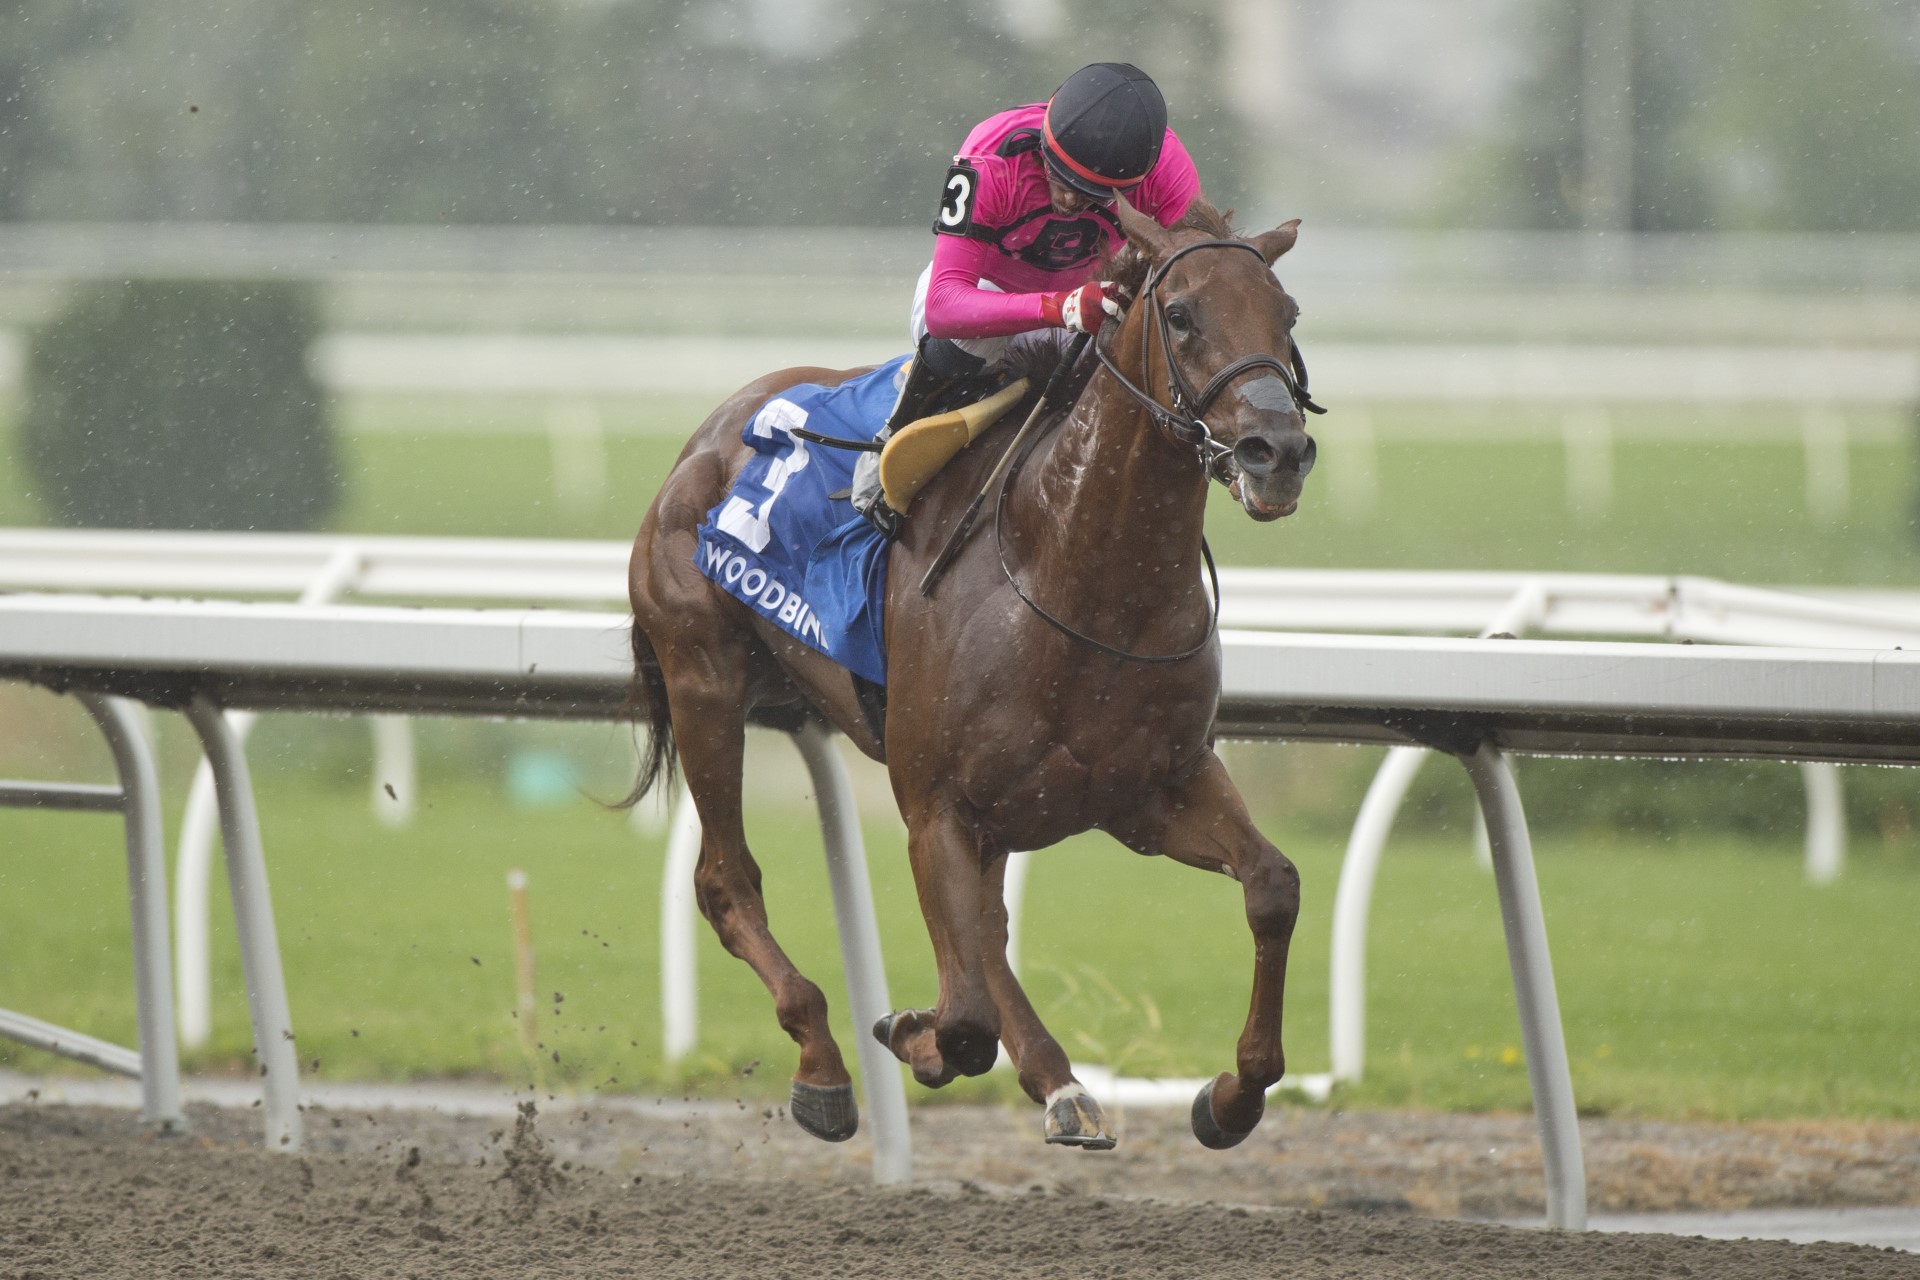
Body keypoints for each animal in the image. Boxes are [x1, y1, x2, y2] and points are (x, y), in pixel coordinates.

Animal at [629, 200, 1320, 1151]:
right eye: (1180, 314)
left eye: (1287, 314)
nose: (1275, 451)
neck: (1075, 577)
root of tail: (713, 432)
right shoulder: (936, 808)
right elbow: (961, 1018)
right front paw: (907, 1033)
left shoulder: (1153, 789)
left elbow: (1272, 886)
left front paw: (1230, 1096)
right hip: (703, 679)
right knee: (727, 883)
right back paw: (825, 1066)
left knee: (985, 935)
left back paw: (1058, 1082)